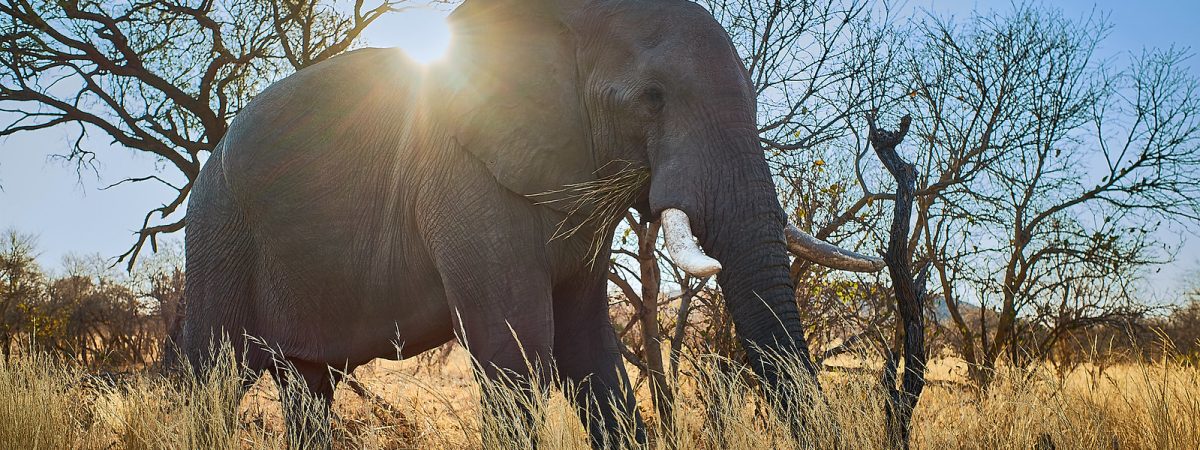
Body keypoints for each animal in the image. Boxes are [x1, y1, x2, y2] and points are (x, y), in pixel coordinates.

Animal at [173, 0, 884, 447]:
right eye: (652, 99)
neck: (560, 21)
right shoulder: (462, 179)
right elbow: (516, 347)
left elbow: (588, 350)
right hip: (218, 233)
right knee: (212, 374)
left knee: (305, 384)